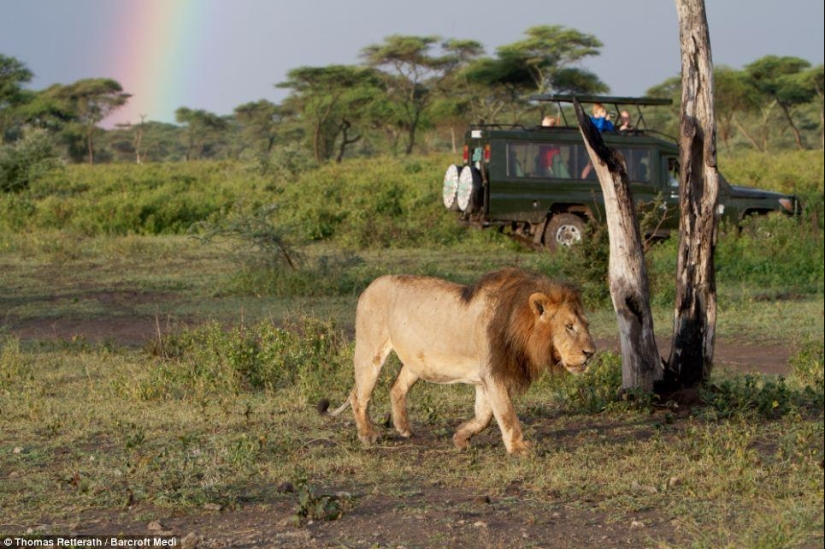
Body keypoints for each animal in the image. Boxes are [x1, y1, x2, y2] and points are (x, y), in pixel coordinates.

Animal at [330, 268, 596, 455]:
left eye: (587, 325)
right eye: (569, 326)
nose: (591, 352)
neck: (519, 325)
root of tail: (371, 285)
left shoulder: (485, 378)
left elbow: (485, 416)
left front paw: (460, 437)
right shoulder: (493, 373)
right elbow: (507, 414)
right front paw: (519, 448)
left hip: (416, 362)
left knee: (396, 387)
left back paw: (404, 428)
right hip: (369, 352)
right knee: (359, 397)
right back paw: (368, 435)